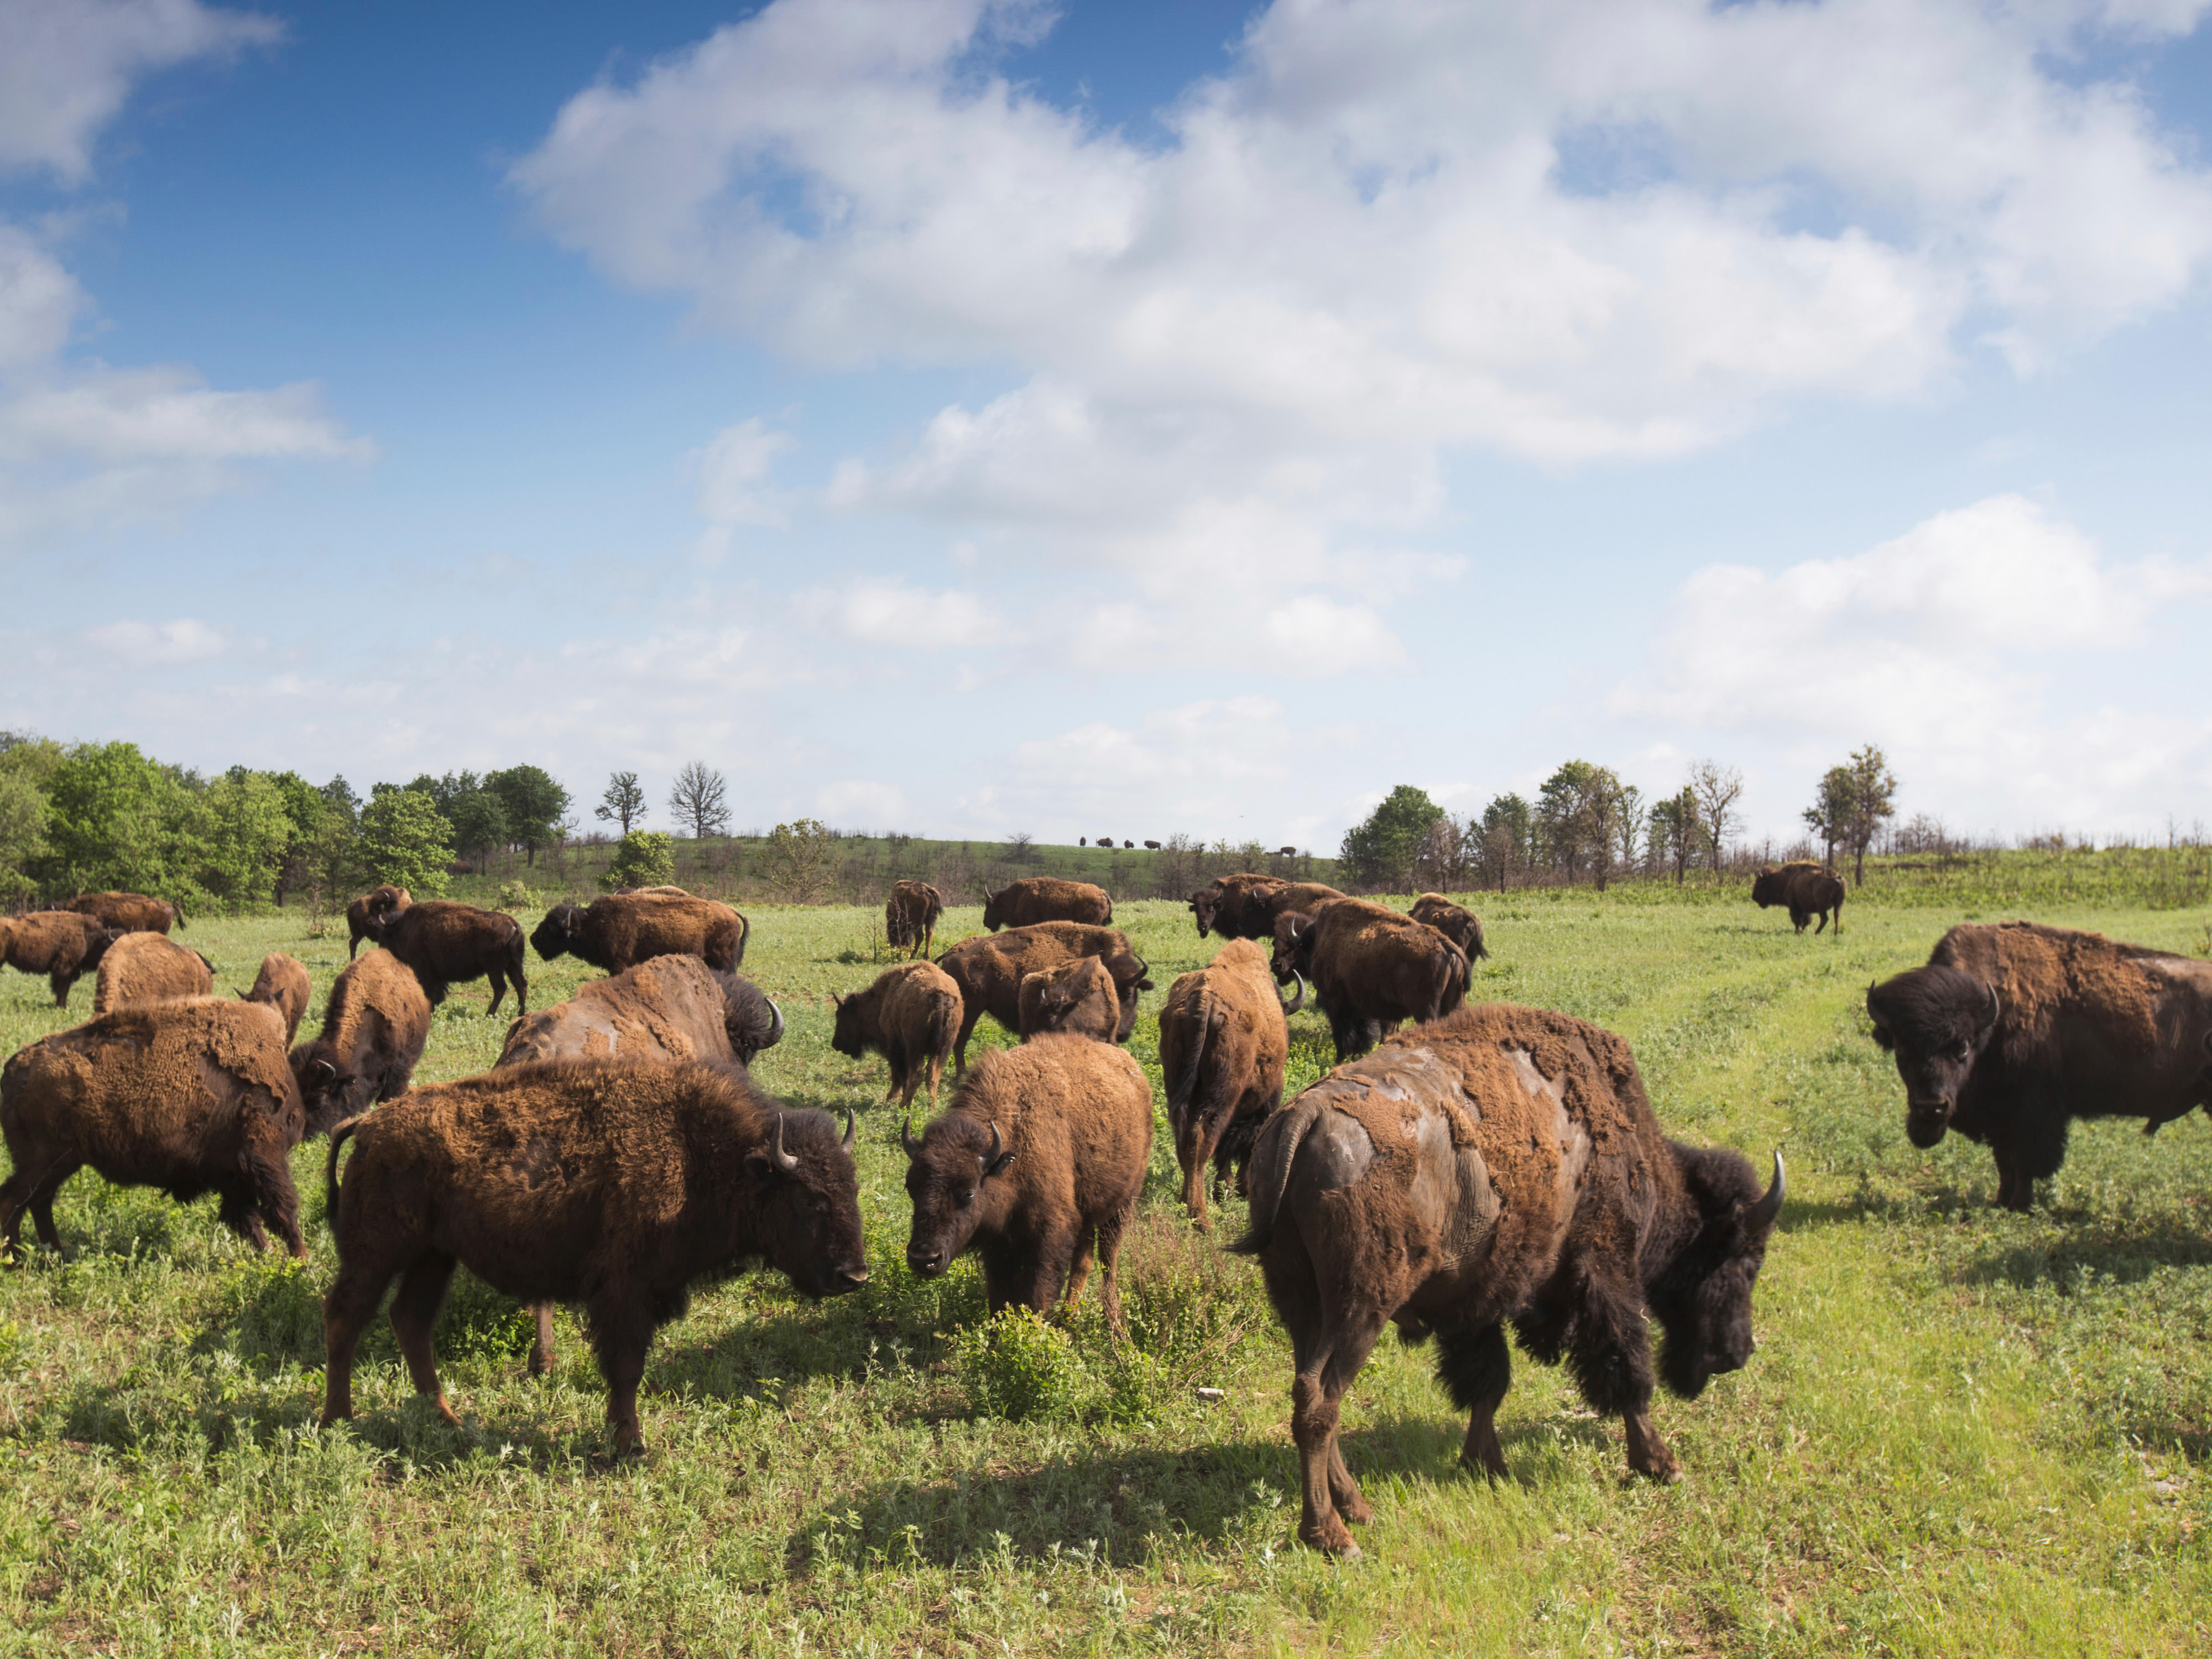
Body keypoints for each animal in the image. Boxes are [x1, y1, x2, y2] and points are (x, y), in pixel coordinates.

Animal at [1236, 1003, 1784, 1555]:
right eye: (1746, 1261)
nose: (1739, 1353)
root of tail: (1303, 1117)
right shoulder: (1605, 1268)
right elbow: (1625, 1364)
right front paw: (1661, 1464)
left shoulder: (1477, 1300)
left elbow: (1488, 1380)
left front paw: (1486, 1462)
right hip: (1360, 1308)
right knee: (1321, 1399)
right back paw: (1333, 1534)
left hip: (1301, 1303)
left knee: (1310, 1390)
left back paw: (1357, 1509)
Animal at [1867, 920, 2212, 1210]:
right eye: (1901, 1048)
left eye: (1962, 1047)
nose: (1931, 1107)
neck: (1993, 1019)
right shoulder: (2001, 1118)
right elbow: (2004, 1162)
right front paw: (2001, 1201)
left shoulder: (2032, 1114)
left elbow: (2025, 1162)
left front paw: (2021, 1205)